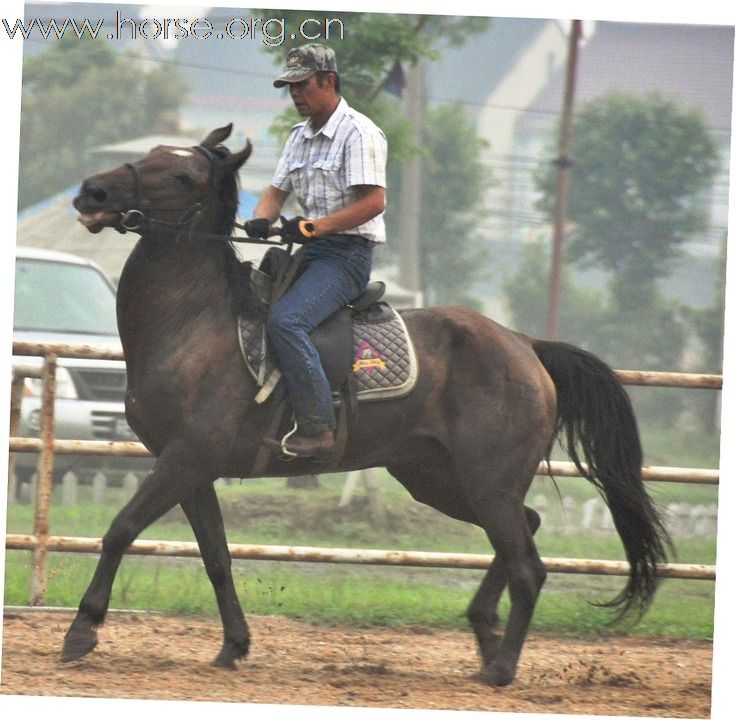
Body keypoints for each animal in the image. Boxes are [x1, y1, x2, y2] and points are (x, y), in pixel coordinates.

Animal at [63, 124, 668, 688]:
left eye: (184, 176)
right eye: (151, 155)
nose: (92, 191)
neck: (196, 321)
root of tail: (525, 345)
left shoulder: (185, 457)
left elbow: (121, 528)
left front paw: (82, 630)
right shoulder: (192, 468)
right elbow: (216, 557)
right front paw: (233, 644)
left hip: (486, 482)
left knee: (528, 568)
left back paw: (500, 667)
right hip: (439, 478)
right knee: (529, 525)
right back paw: (485, 634)